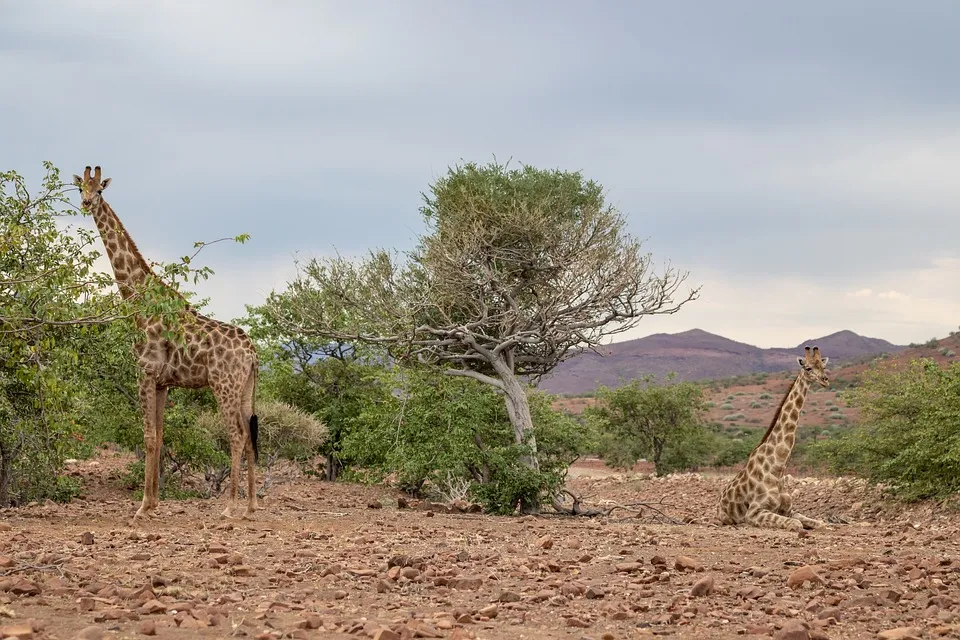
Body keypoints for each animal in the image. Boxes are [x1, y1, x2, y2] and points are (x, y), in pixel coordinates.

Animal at [73, 165, 258, 520]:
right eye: (80, 188)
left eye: (100, 190)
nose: (86, 203)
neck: (138, 299)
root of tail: (254, 353)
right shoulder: (163, 383)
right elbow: (159, 438)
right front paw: (153, 503)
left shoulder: (144, 373)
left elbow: (147, 437)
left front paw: (141, 508)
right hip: (246, 390)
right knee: (252, 432)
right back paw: (252, 506)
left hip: (224, 385)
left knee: (237, 434)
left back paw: (230, 507)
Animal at [716, 344, 828, 528]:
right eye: (808, 368)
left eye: (823, 366)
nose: (825, 379)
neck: (778, 468)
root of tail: (719, 500)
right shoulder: (754, 512)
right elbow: (796, 524)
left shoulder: (789, 510)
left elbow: (820, 523)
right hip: (726, 518)